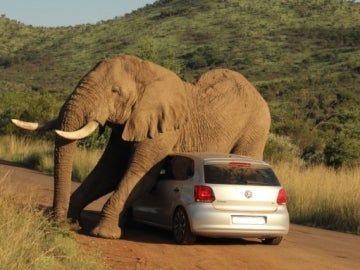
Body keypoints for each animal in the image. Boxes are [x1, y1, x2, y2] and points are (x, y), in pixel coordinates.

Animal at [11, 54, 270, 238]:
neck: (148, 72)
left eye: (115, 91)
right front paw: (73, 223)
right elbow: (108, 172)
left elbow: (141, 175)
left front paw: (104, 234)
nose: (58, 225)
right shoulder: (130, 122)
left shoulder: (164, 129)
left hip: (255, 128)